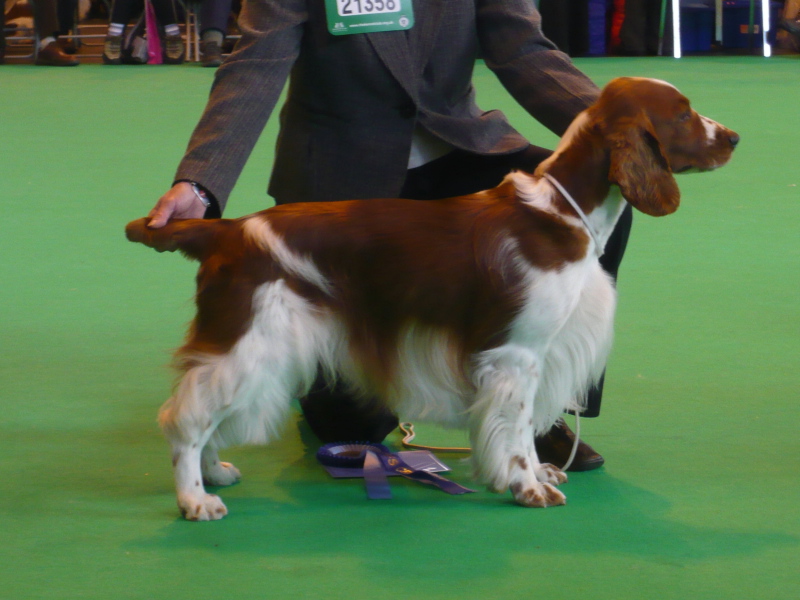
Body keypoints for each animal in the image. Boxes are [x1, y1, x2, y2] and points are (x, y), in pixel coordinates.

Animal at [125, 78, 736, 520]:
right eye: (683, 113)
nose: (732, 136)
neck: (562, 214)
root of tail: (227, 232)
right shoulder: (517, 353)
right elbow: (516, 428)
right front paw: (527, 487)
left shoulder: (537, 354)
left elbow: (525, 427)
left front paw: (539, 473)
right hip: (252, 343)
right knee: (185, 417)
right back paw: (196, 498)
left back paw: (216, 472)